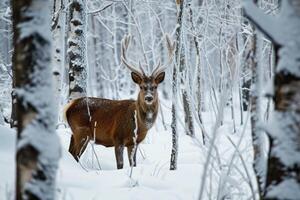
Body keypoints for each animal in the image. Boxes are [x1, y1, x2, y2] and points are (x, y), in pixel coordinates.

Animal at [63, 34, 176, 169]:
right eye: (141, 86)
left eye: (155, 86)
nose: (149, 97)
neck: (138, 125)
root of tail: (69, 107)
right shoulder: (117, 138)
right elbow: (120, 165)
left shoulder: (134, 143)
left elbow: (133, 164)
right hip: (81, 131)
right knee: (75, 154)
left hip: (76, 133)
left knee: (70, 151)